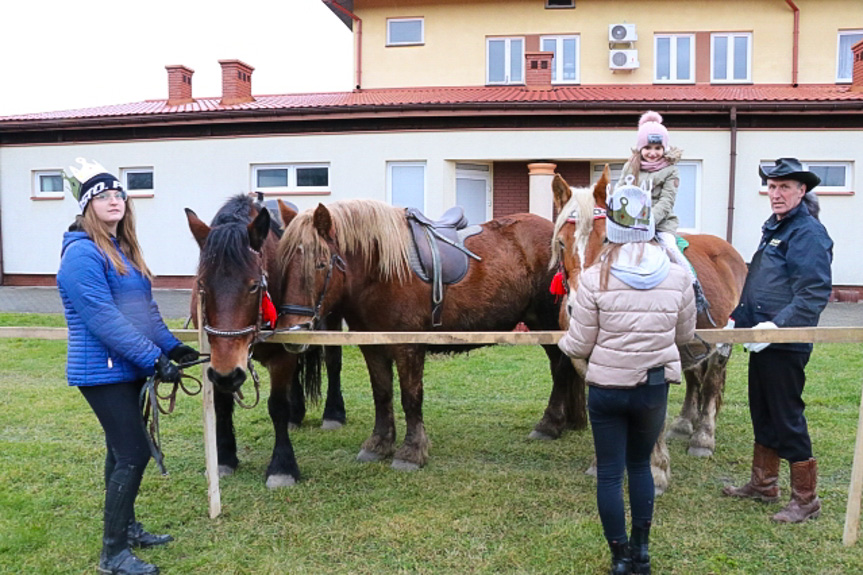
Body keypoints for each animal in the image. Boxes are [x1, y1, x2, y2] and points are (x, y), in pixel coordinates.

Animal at [185, 196, 344, 488]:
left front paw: (282, 466)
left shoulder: (281, 355)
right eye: (202, 284)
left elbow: (277, 406)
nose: (228, 374)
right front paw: (224, 456)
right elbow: (222, 404)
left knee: (333, 362)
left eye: (253, 286)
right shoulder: (219, 359)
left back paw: (333, 413)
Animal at [276, 200, 588, 470]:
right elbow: (382, 394)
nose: (293, 331)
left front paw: (411, 452)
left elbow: (411, 397)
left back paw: (549, 425)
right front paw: (378, 445)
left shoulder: (408, 347)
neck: (382, 272)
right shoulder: (372, 346)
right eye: (283, 264)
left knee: (561, 370)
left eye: (320, 264)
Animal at [552, 169, 748, 492]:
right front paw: (599, 463)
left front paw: (656, 471)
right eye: (561, 243)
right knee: (695, 377)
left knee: (711, 382)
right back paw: (684, 424)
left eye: (606, 239)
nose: (579, 307)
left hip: (723, 341)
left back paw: (703, 438)